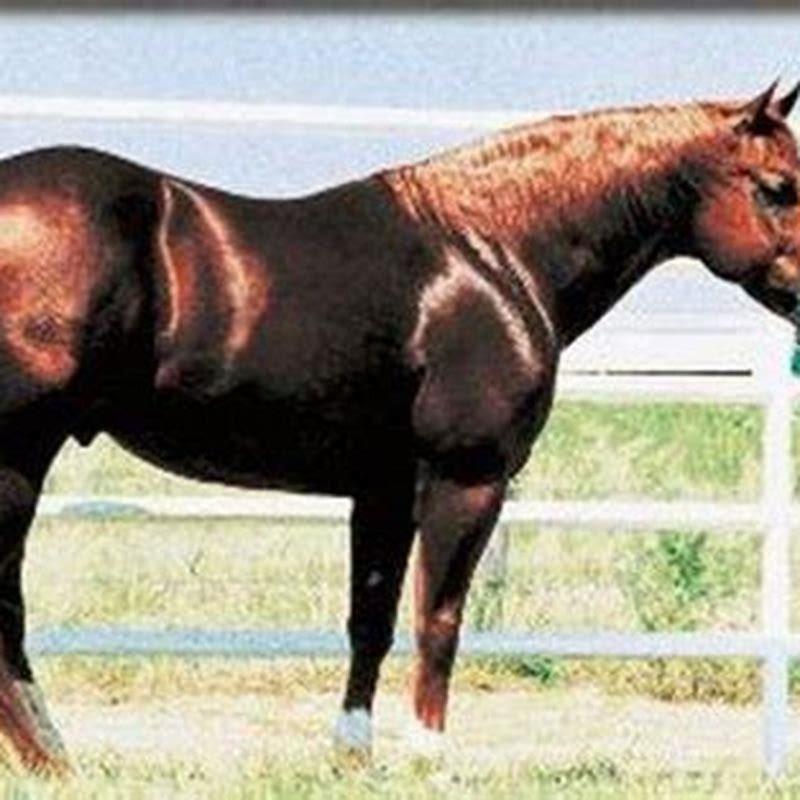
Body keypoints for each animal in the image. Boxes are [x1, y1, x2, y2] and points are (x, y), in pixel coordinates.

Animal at [0, 81, 798, 776]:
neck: (493, 250)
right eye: (775, 186)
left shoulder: (383, 490)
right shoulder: (466, 479)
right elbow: (438, 620)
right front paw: (428, 759)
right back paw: (54, 763)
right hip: (19, 458)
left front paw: (354, 758)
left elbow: (372, 621)